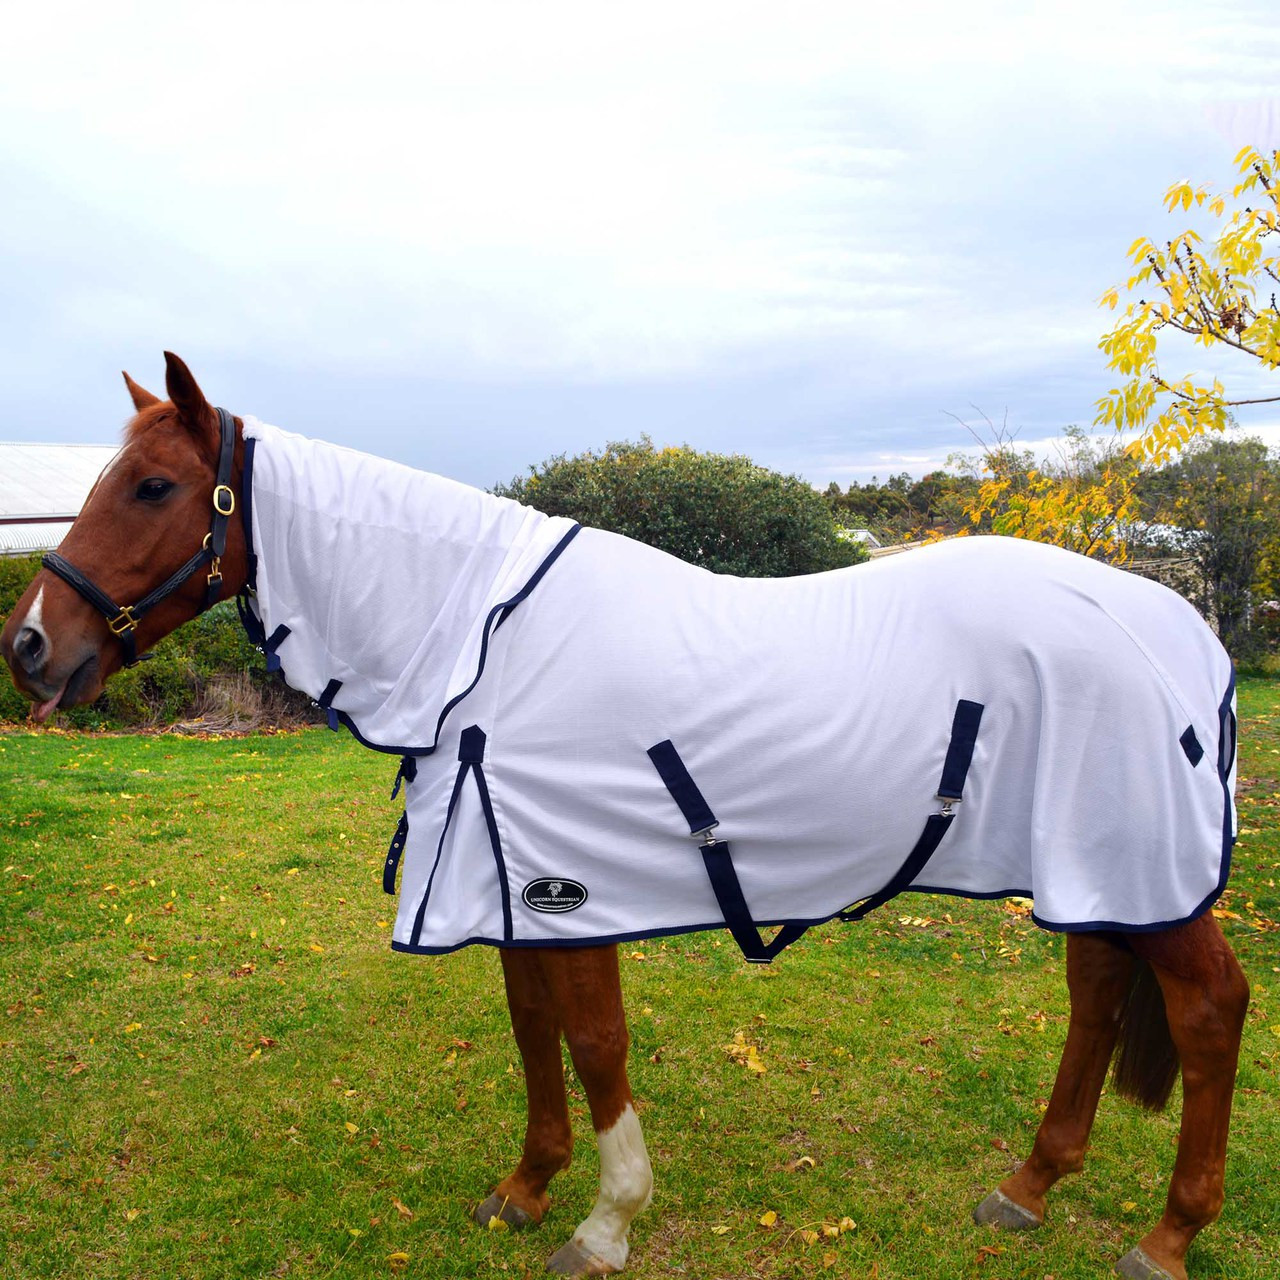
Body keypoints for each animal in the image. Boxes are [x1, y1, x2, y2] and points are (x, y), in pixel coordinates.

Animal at [0, 353, 1250, 1280]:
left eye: (153, 486)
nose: (29, 645)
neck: (481, 643)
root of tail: (1174, 621)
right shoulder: (502, 881)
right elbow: (531, 1028)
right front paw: (524, 1185)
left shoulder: (573, 883)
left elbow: (594, 1038)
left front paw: (606, 1220)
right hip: (1087, 866)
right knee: (1095, 991)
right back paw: (1028, 1185)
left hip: (1140, 868)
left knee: (1206, 1008)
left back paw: (1165, 1233)